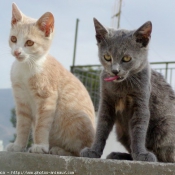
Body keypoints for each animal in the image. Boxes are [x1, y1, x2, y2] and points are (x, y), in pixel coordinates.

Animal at [80, 18, 175, 162]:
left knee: (166, 156)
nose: (115, 71)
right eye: (107, 57)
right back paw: (118, 155)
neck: (121, 88)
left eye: (126, 58)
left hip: (164, 127)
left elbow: (138, 131)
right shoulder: (106, 102)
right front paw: (93, 151)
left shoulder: (141, 103)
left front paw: (141, 154)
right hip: (121, 131)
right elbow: (101, 127)